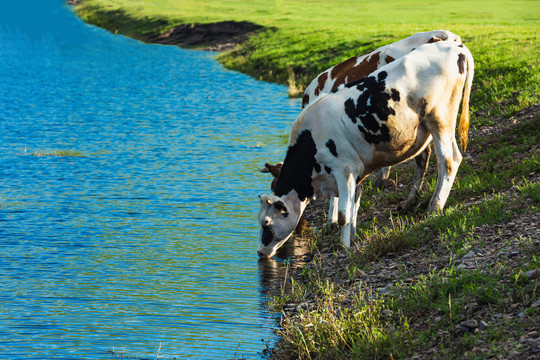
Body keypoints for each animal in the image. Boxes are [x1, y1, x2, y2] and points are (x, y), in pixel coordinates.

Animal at [258, 40, 472, 258]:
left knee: (449, 161)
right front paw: (352, 239)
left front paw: (343, 247)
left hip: (439, 118)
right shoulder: (357, 172)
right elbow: (354, 207)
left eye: (266, 223)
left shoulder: (344, 170)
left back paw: (435, 207)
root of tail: (455, 45)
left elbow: (343, 214)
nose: (259, 252)